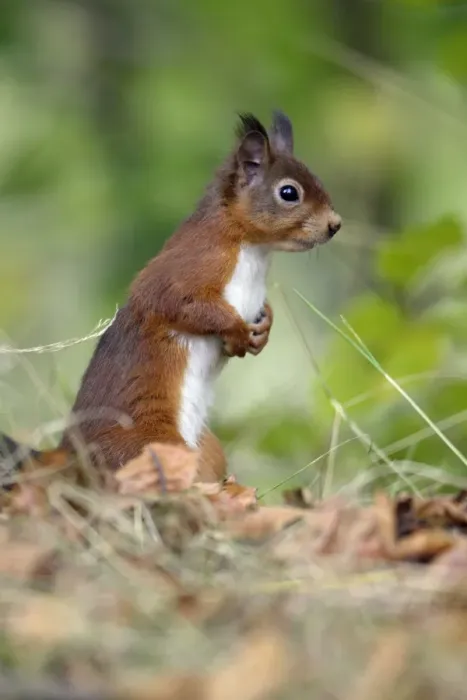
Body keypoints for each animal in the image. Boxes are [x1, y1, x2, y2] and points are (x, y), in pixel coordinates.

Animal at [0, 110, 341, 485]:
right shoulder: (188, 268)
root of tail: (72, 459)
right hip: (149, 448)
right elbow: (178, 304)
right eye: (289, 192)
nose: (335, 224)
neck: (254, 250)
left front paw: (263, 331)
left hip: (207, 450)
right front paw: (236, 332)